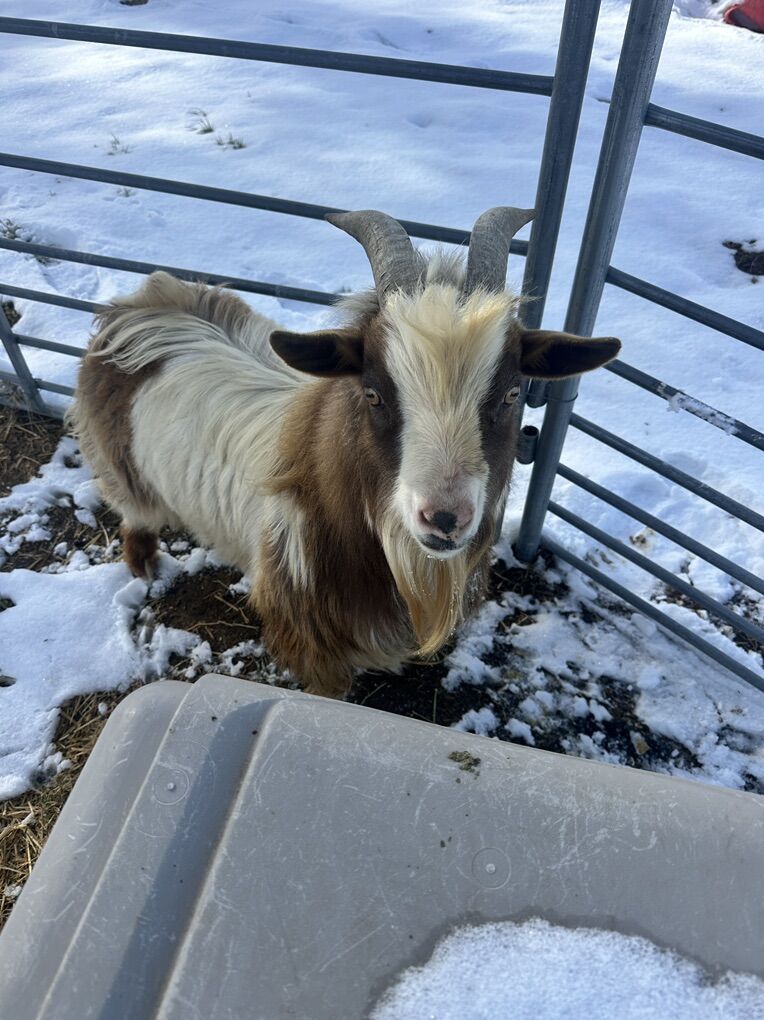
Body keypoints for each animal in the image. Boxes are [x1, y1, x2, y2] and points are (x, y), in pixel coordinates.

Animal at [70, 208, 620, 698]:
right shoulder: (312, 641)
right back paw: (144, 569)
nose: (444, 518)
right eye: (373, 393)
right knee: (134, 518)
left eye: (510, 394)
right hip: (123, 472)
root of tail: (135, 310)